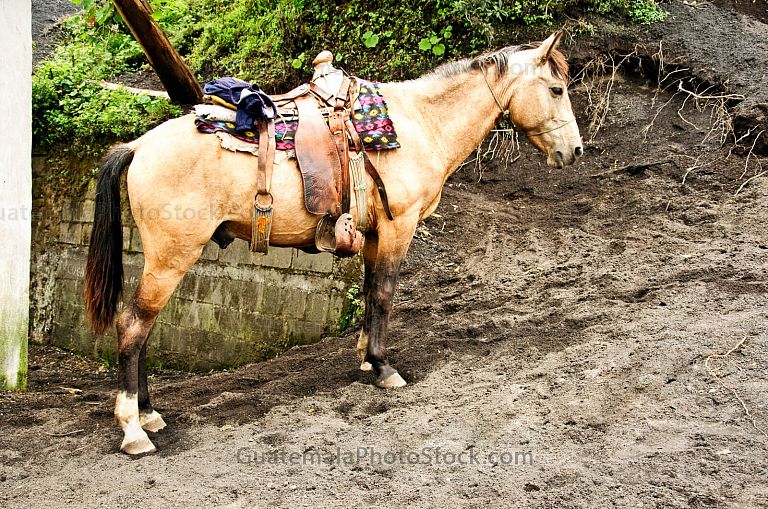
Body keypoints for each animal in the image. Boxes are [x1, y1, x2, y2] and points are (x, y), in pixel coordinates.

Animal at [84, 32, 583, 455]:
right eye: (557, 89)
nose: (575, 151)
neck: (419, 124)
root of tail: (138, 146)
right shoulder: (399, 227)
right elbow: (384, 294)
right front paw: (383, 368)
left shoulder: (374, 234)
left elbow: (368, 291)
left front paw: (365, 358)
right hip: (172, 257)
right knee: (133, 326)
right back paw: (133, 429)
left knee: (143, 329)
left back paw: (149, 413)